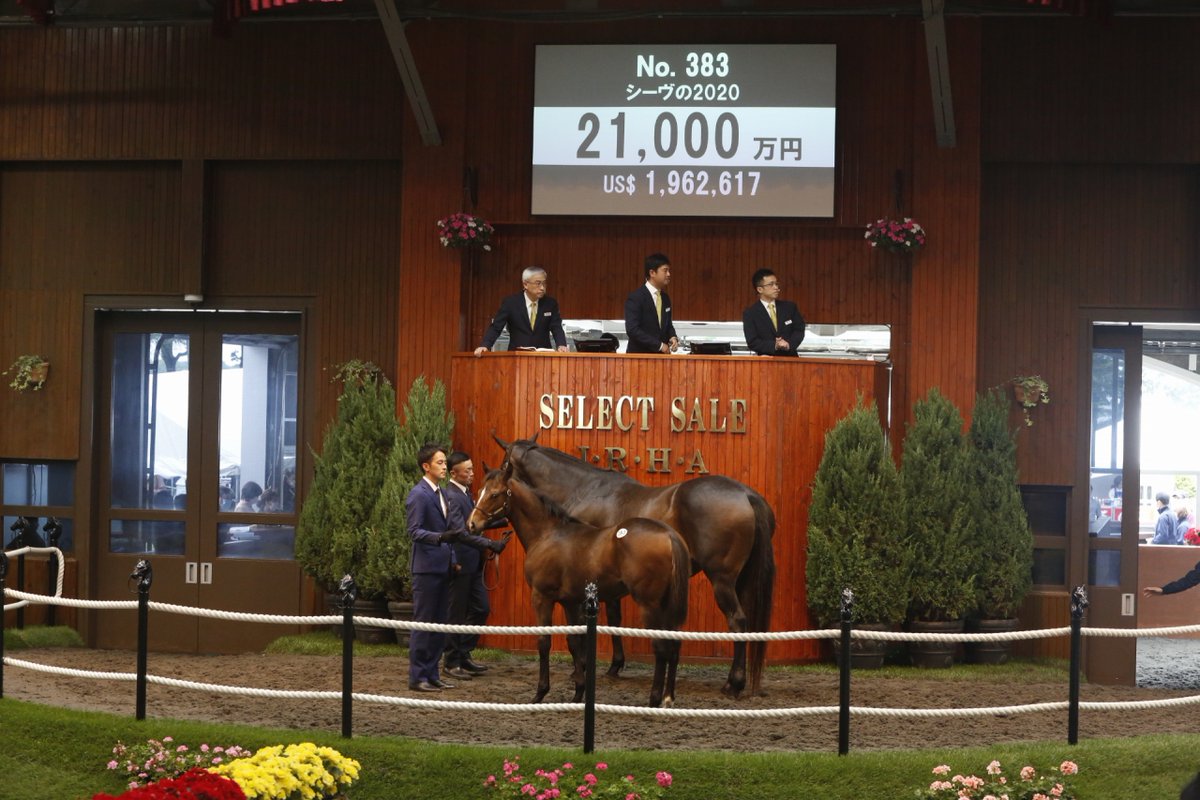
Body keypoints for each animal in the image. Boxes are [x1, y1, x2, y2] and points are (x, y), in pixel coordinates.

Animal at [468, 460, 696, 710]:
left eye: (495, 494)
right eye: (479, 491)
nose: (472, 524)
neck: (547, 534)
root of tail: (669, 534)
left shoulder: (542, 597)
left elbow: (544, 642)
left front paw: (540, 693)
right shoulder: (570, 602)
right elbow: (574, 642)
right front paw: (578, 693)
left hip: (650, 605)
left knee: (661, 647)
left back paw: (654, 700)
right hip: (666, 604)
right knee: (673, 645)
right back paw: (668, 697)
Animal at [499, 434, 772, 695]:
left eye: (503, 466)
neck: (584, 489)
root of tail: (745, 494)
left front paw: (588, 668)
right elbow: (614, 618)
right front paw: (613, 665)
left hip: (721, 579)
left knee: (737, 620)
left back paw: (733, 684)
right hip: (740, 580)